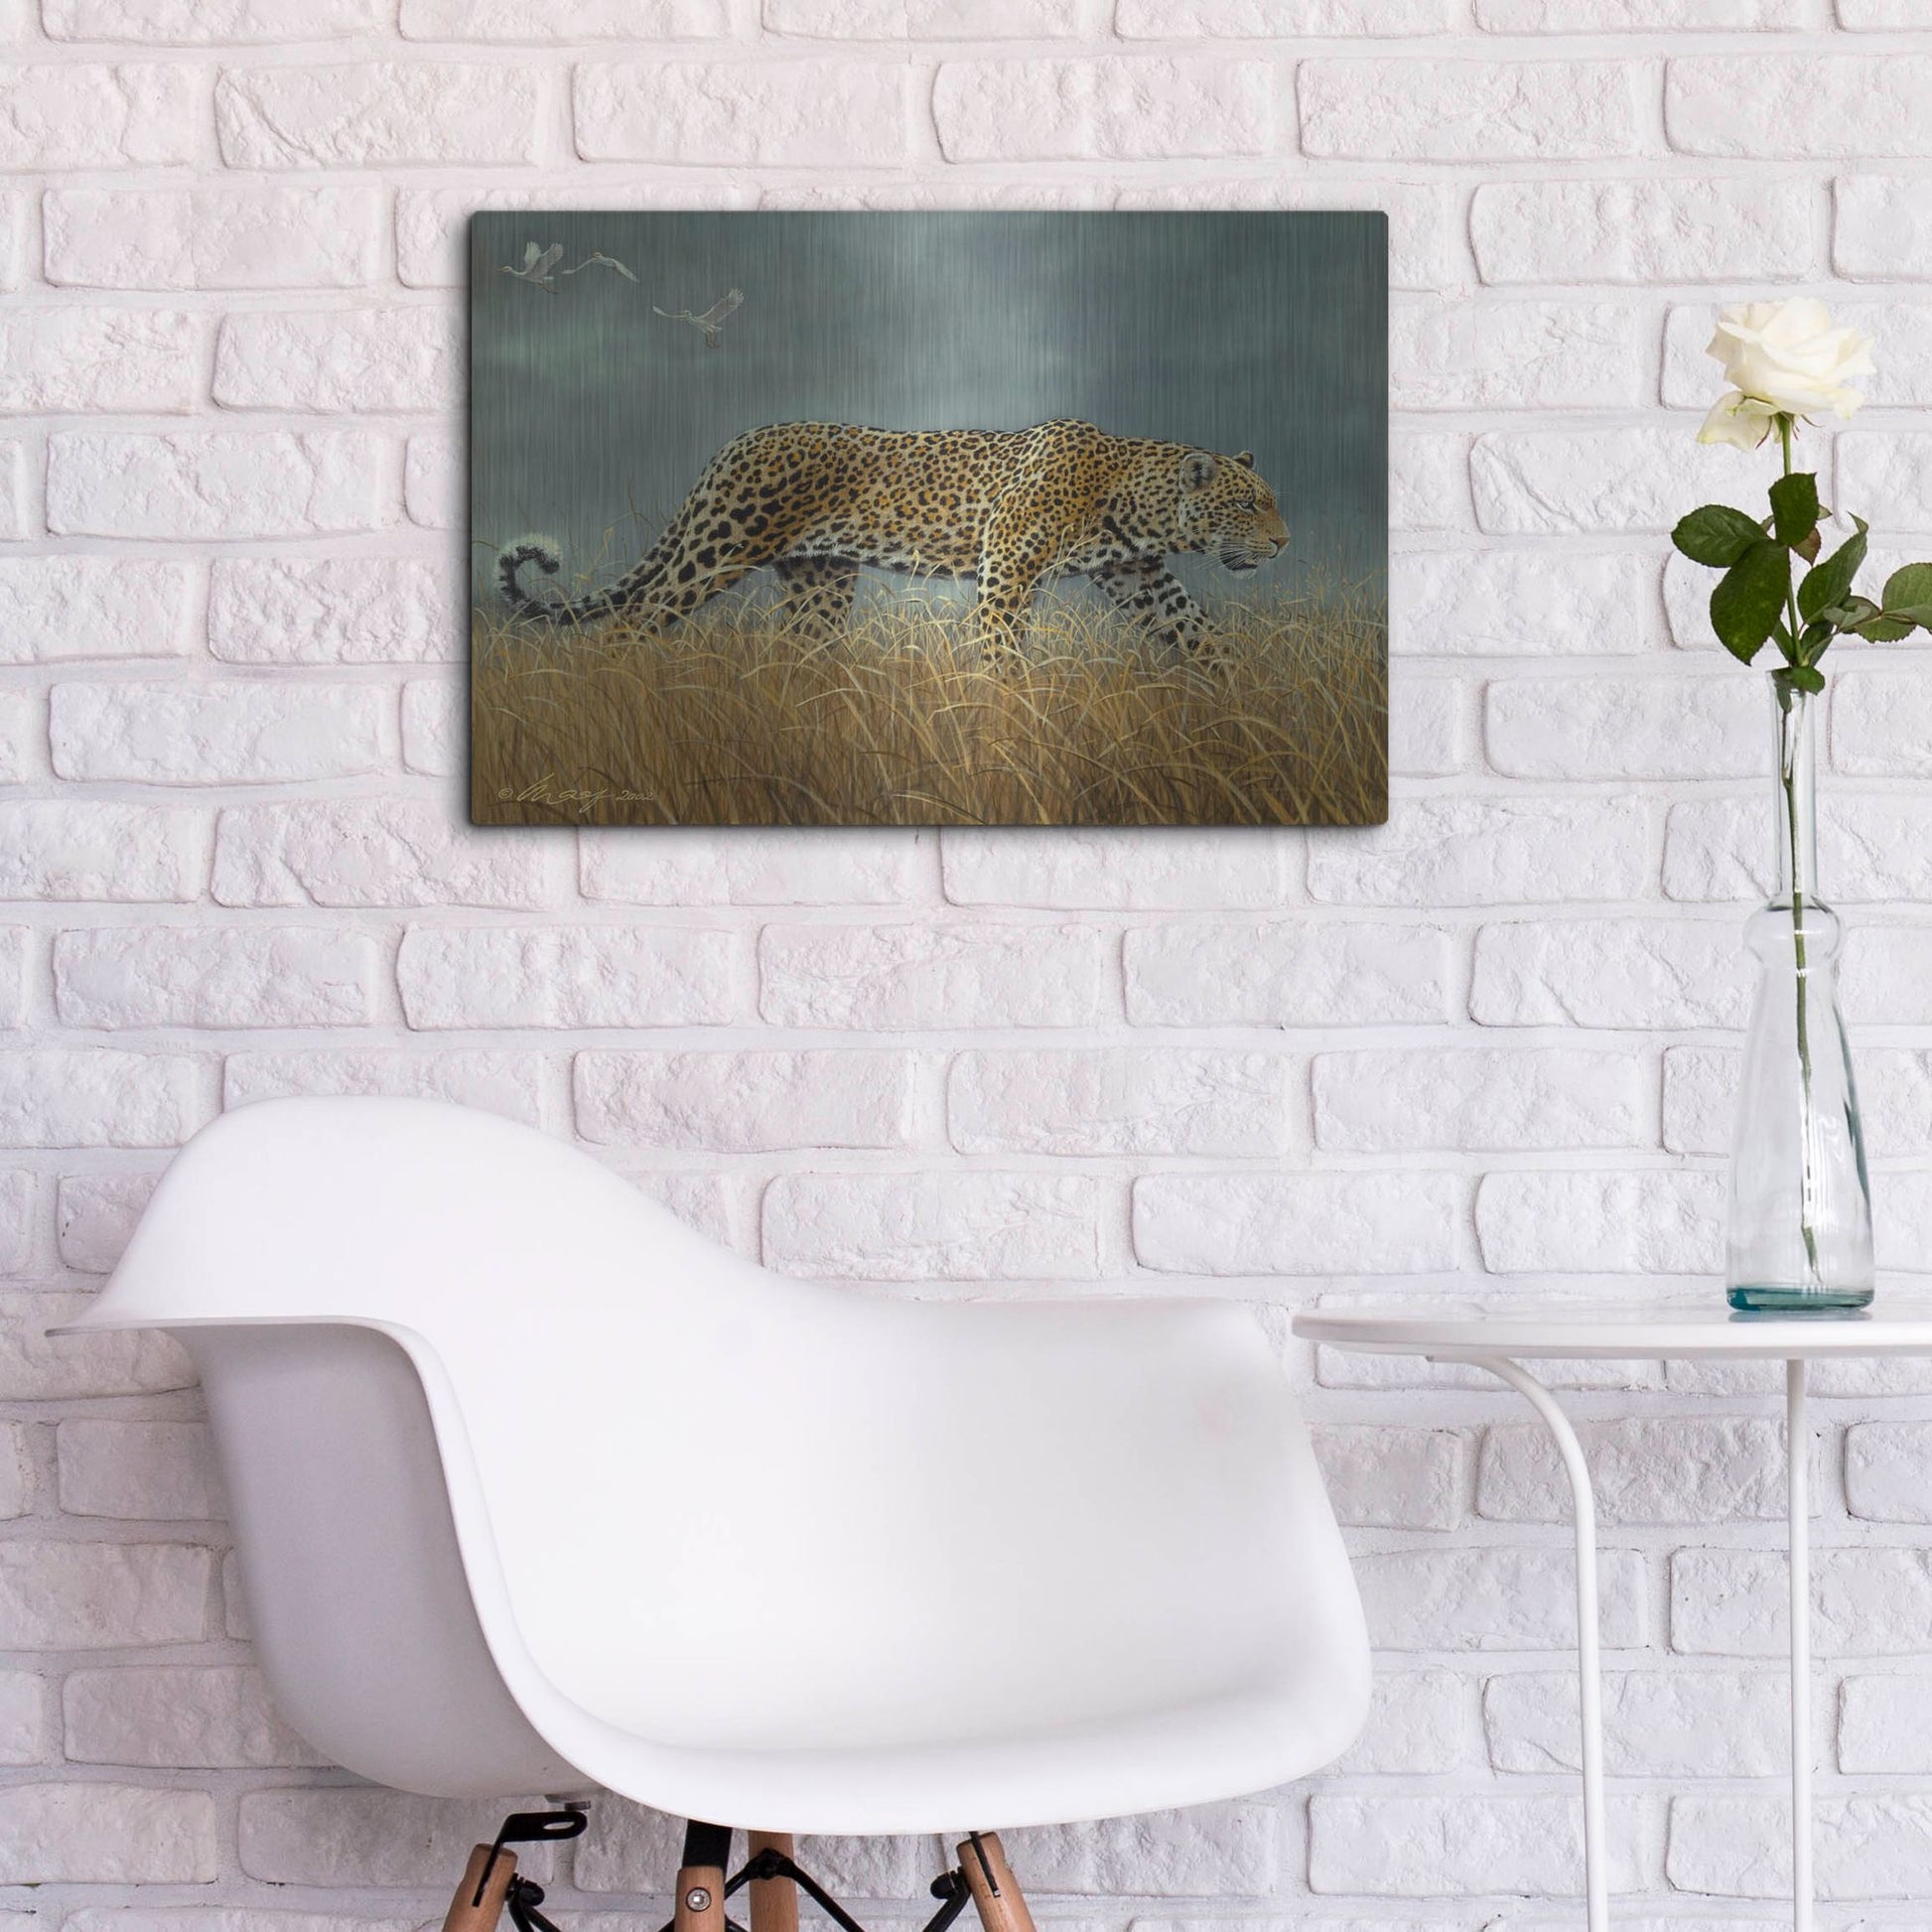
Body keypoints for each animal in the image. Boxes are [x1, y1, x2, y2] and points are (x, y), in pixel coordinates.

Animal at [496, 417, 1288, 663]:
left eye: (1271, 503)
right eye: (1249, 505)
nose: (1283, 544)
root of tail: (734, 444)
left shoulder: (1141, 577)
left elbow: (1199, 633)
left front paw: (1240, 705)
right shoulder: (1006, 573)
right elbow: (1001, 655)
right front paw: (1007, 720)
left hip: (819, 581)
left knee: (798, 651)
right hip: (716, 551)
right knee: (633, 619)